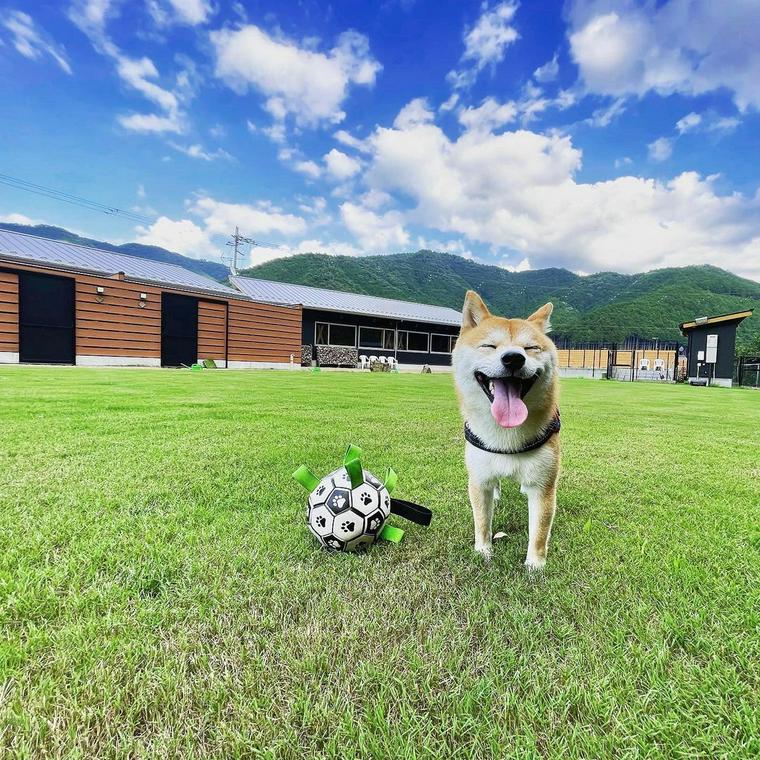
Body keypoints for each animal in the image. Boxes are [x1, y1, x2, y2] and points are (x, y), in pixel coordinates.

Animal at [452, 290, 564, 568]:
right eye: (489, 346)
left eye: (531, 348)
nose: (514, 357)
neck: (506, 436)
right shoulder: (479, 480)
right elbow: (482, 522)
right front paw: (483, 552)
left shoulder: (544, 487)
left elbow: (539, 532)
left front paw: (535, 566)